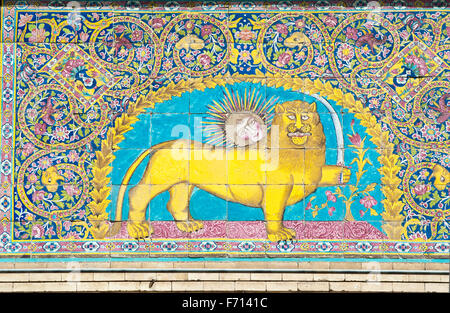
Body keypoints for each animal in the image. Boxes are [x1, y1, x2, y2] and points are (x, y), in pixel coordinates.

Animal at [112, 100, 352, 241]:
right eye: (292, 116)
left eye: (306, 116)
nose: (301, 127)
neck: (299, 152)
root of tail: (166, 143)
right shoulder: (275, 189)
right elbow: (275, 212)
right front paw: (279, 234)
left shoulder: (311, 173)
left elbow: (322, 175)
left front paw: (343, 173)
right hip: (161, 176)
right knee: (137, 193)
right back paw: (139, 229)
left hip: (183, 184)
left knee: (176, 203)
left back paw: (189, 225)